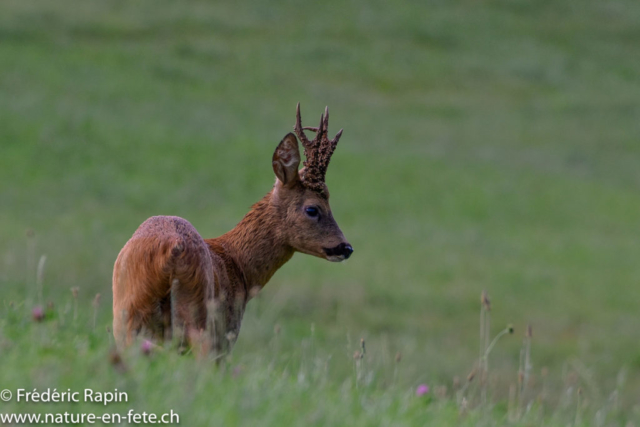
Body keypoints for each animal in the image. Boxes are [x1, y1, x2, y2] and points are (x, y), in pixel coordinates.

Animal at [112, 105, 352, 356]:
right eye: (313, 209)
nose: (346, 247)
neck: (239, 265)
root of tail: (173, 250)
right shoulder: (227, 333)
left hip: (128, 312)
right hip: (201, 319)